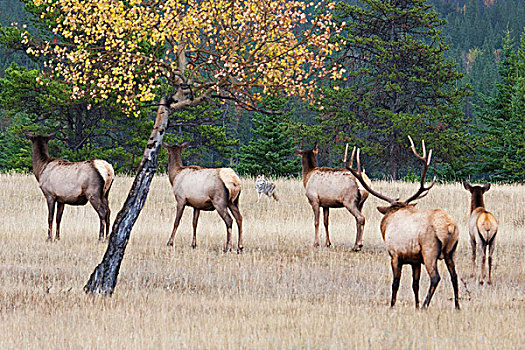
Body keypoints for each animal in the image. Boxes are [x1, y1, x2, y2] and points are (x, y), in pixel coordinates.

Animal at [344, 137, 458, 308]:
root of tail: (449, 227)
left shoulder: (395, 255)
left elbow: (395, 283)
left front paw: (393, 305)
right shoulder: (415, 260)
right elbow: (415, 284)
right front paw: (415, 305)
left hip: (429, 249)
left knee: (435, 277)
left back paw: (425, 305)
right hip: (451, 251)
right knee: (455, 277)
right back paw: (457, 306)